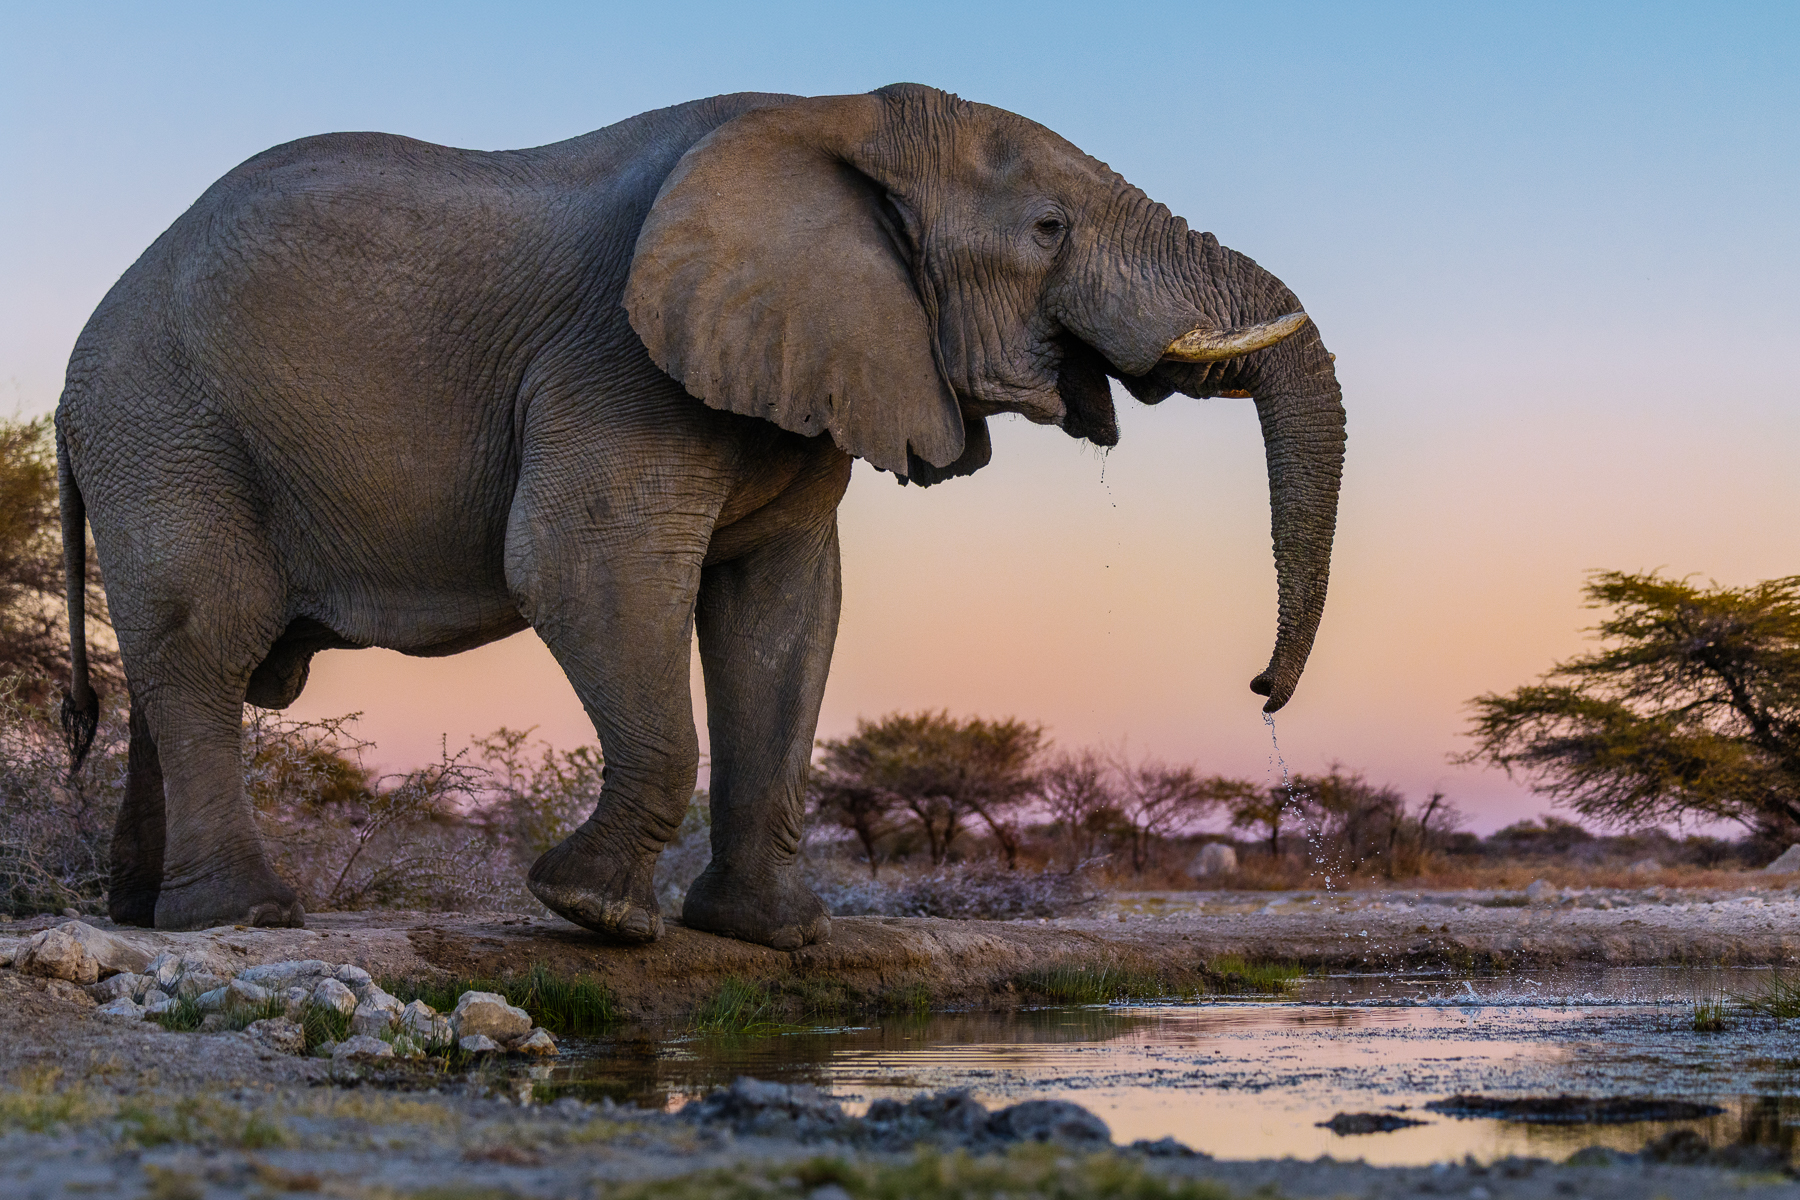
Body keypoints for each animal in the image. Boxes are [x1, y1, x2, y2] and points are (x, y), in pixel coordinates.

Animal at [55, 84, 1345, 947]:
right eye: (1047, 231)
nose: (1263, 691)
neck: (835, 120)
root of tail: (73, 380)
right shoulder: (615, 362)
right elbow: (583, 566)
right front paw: (592, 913)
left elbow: (785, 610)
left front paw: (772, 937)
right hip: (166, 425)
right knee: (206, 642)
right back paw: (245, 917)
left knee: (177, 663)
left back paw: (147, 913)